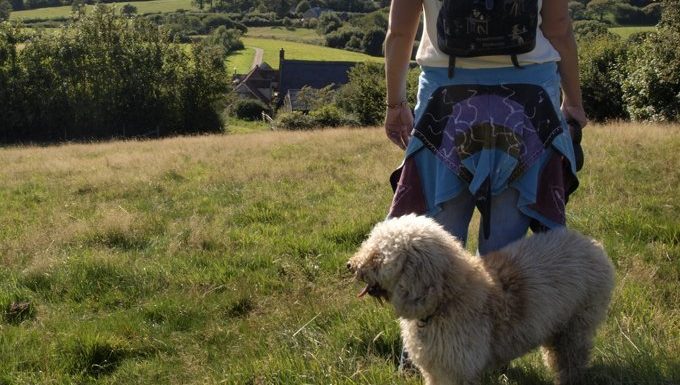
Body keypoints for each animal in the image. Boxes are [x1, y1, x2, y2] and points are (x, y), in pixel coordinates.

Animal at [348, 213, 612, 384]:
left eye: (378, 256)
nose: (350, 265)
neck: (448, 298)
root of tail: (592, 245)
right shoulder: (434, 370)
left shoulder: (459, 370)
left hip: (576, 327)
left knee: (571, 360)